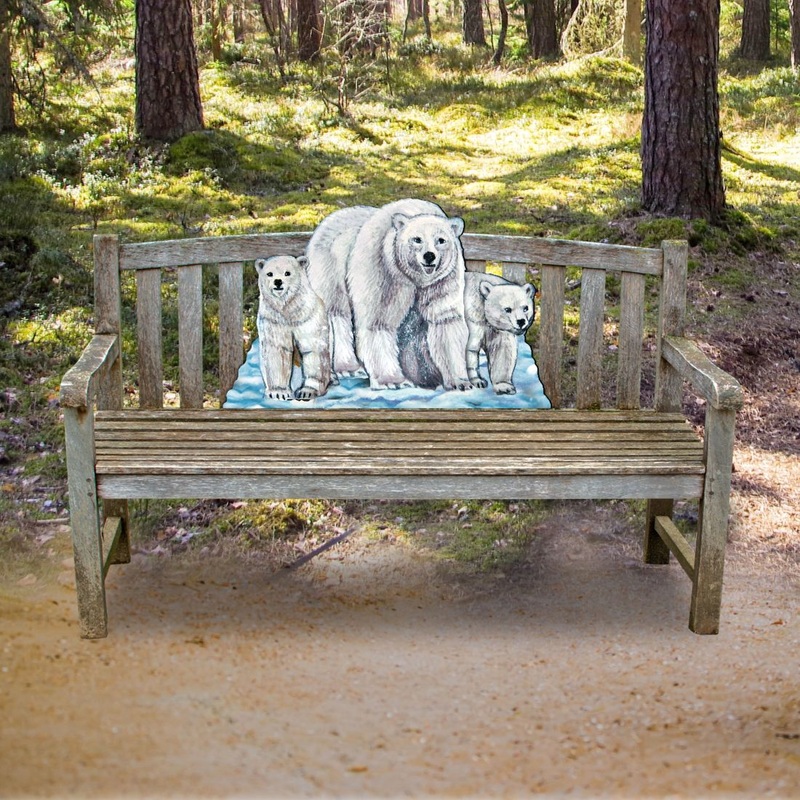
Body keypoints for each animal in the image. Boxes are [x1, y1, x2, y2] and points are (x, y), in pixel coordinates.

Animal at [255, 255, 332, 402]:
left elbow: (313, 350)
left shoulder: (307, 318)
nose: (278, 282)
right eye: (269, 274)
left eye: (287, 273)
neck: (289, 311)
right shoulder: (274, 321)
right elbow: (277, 351)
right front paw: (279, 392)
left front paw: (307, 391)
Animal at [305, 199, 473, 391]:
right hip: (331, 267)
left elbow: (445, 321)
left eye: (441, 240)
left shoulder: (442, 280)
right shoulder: (384, 270)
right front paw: (394, 381)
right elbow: (379, 321)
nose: (429, 256)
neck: (416, 278)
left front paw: (460, 382)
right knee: (336, 313)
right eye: (417, 239)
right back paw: (347, 368)